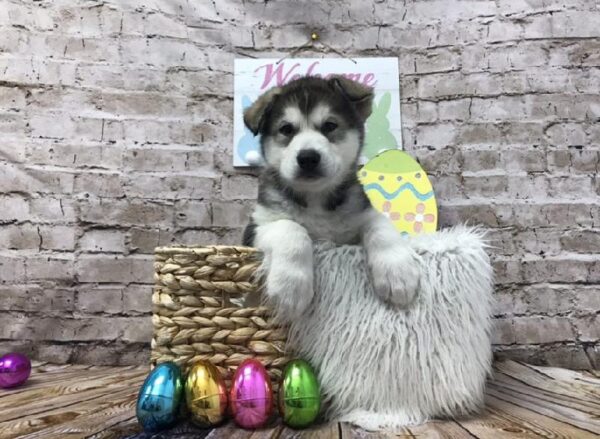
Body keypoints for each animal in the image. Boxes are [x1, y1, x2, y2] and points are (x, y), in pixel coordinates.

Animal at [241, 76, 420, 320]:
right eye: (286, 129)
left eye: (329, 126)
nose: (308, 157)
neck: (316, 198)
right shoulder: (257, 226)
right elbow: (291, 227)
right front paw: (290, 287)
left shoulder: (360, 214)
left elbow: (381, 225)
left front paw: (397, 272)